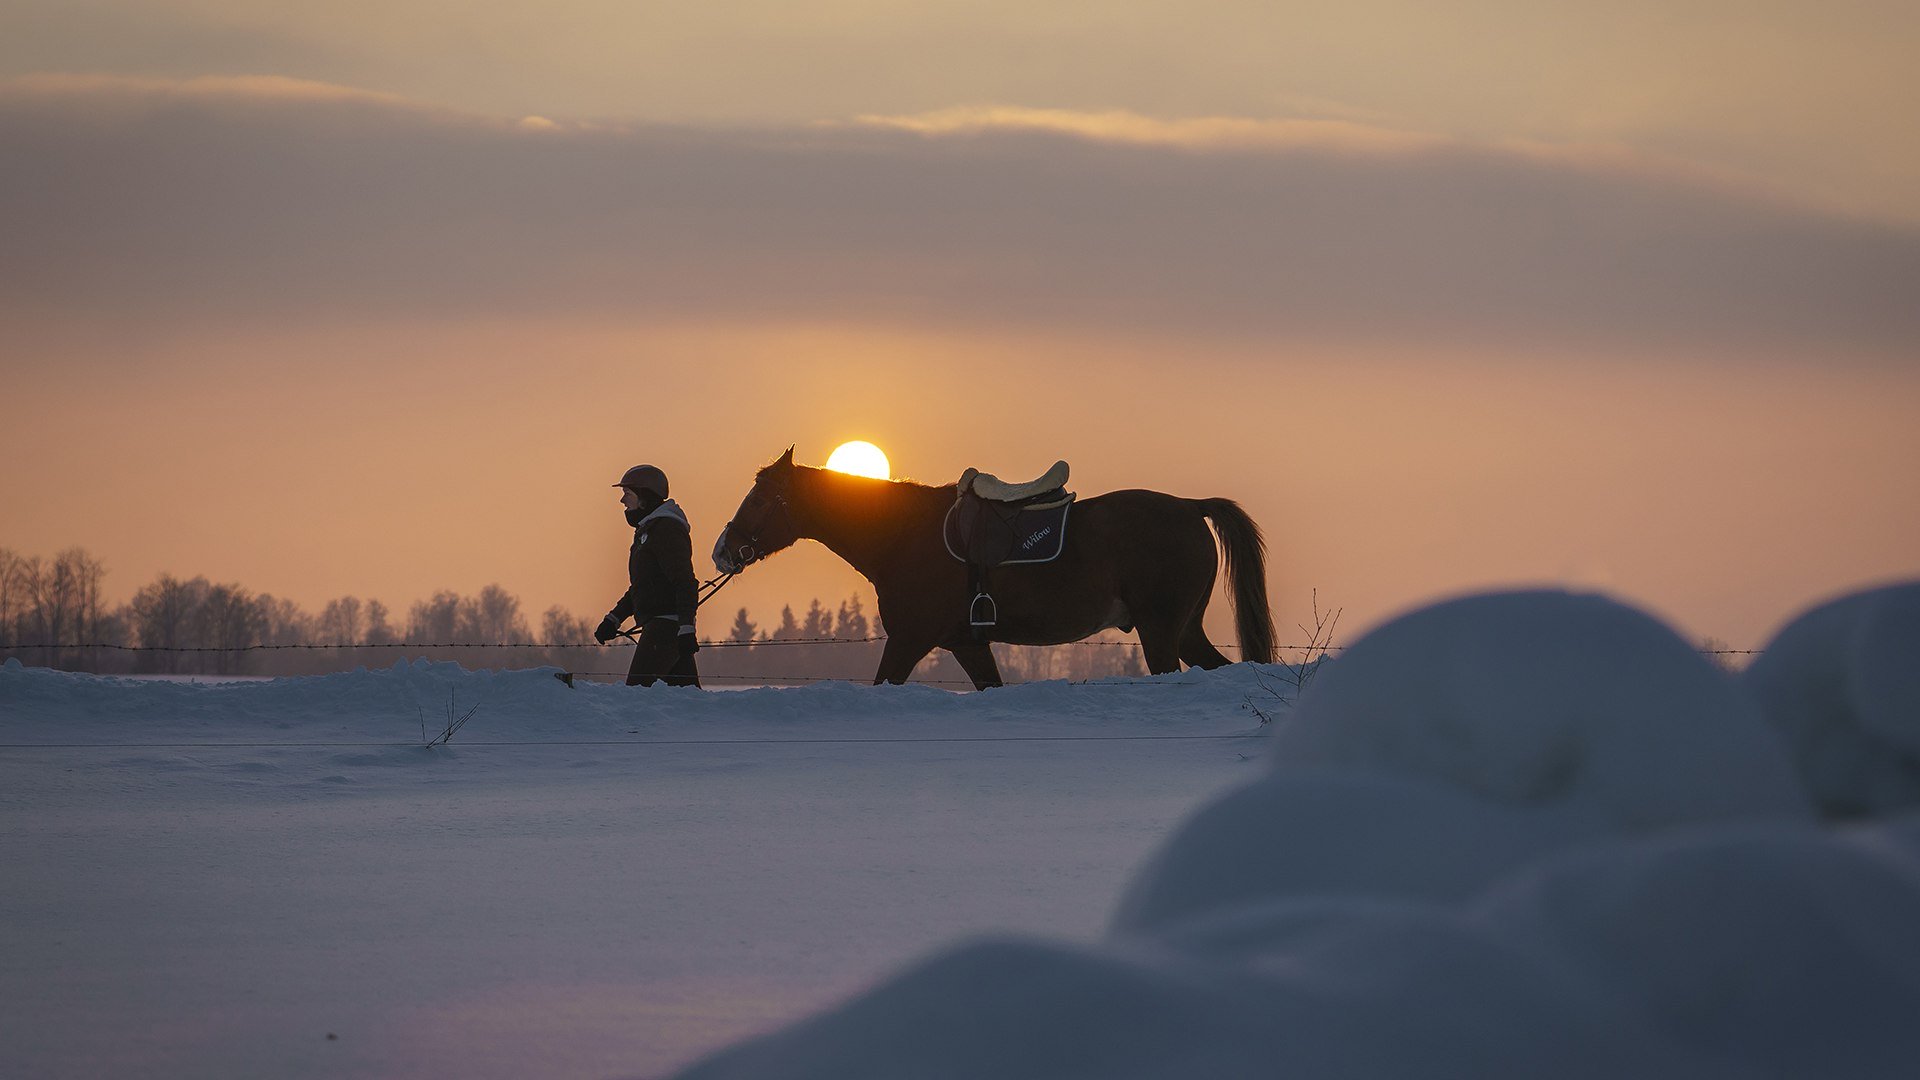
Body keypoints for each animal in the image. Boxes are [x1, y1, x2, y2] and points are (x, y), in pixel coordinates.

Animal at [710, 447, 1274, 687]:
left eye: (760, 498)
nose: (722, 551)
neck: (903, 533)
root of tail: (1190, 506)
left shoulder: (909, 639)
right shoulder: (966, 644)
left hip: (1161, 632)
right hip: (1184, 632)